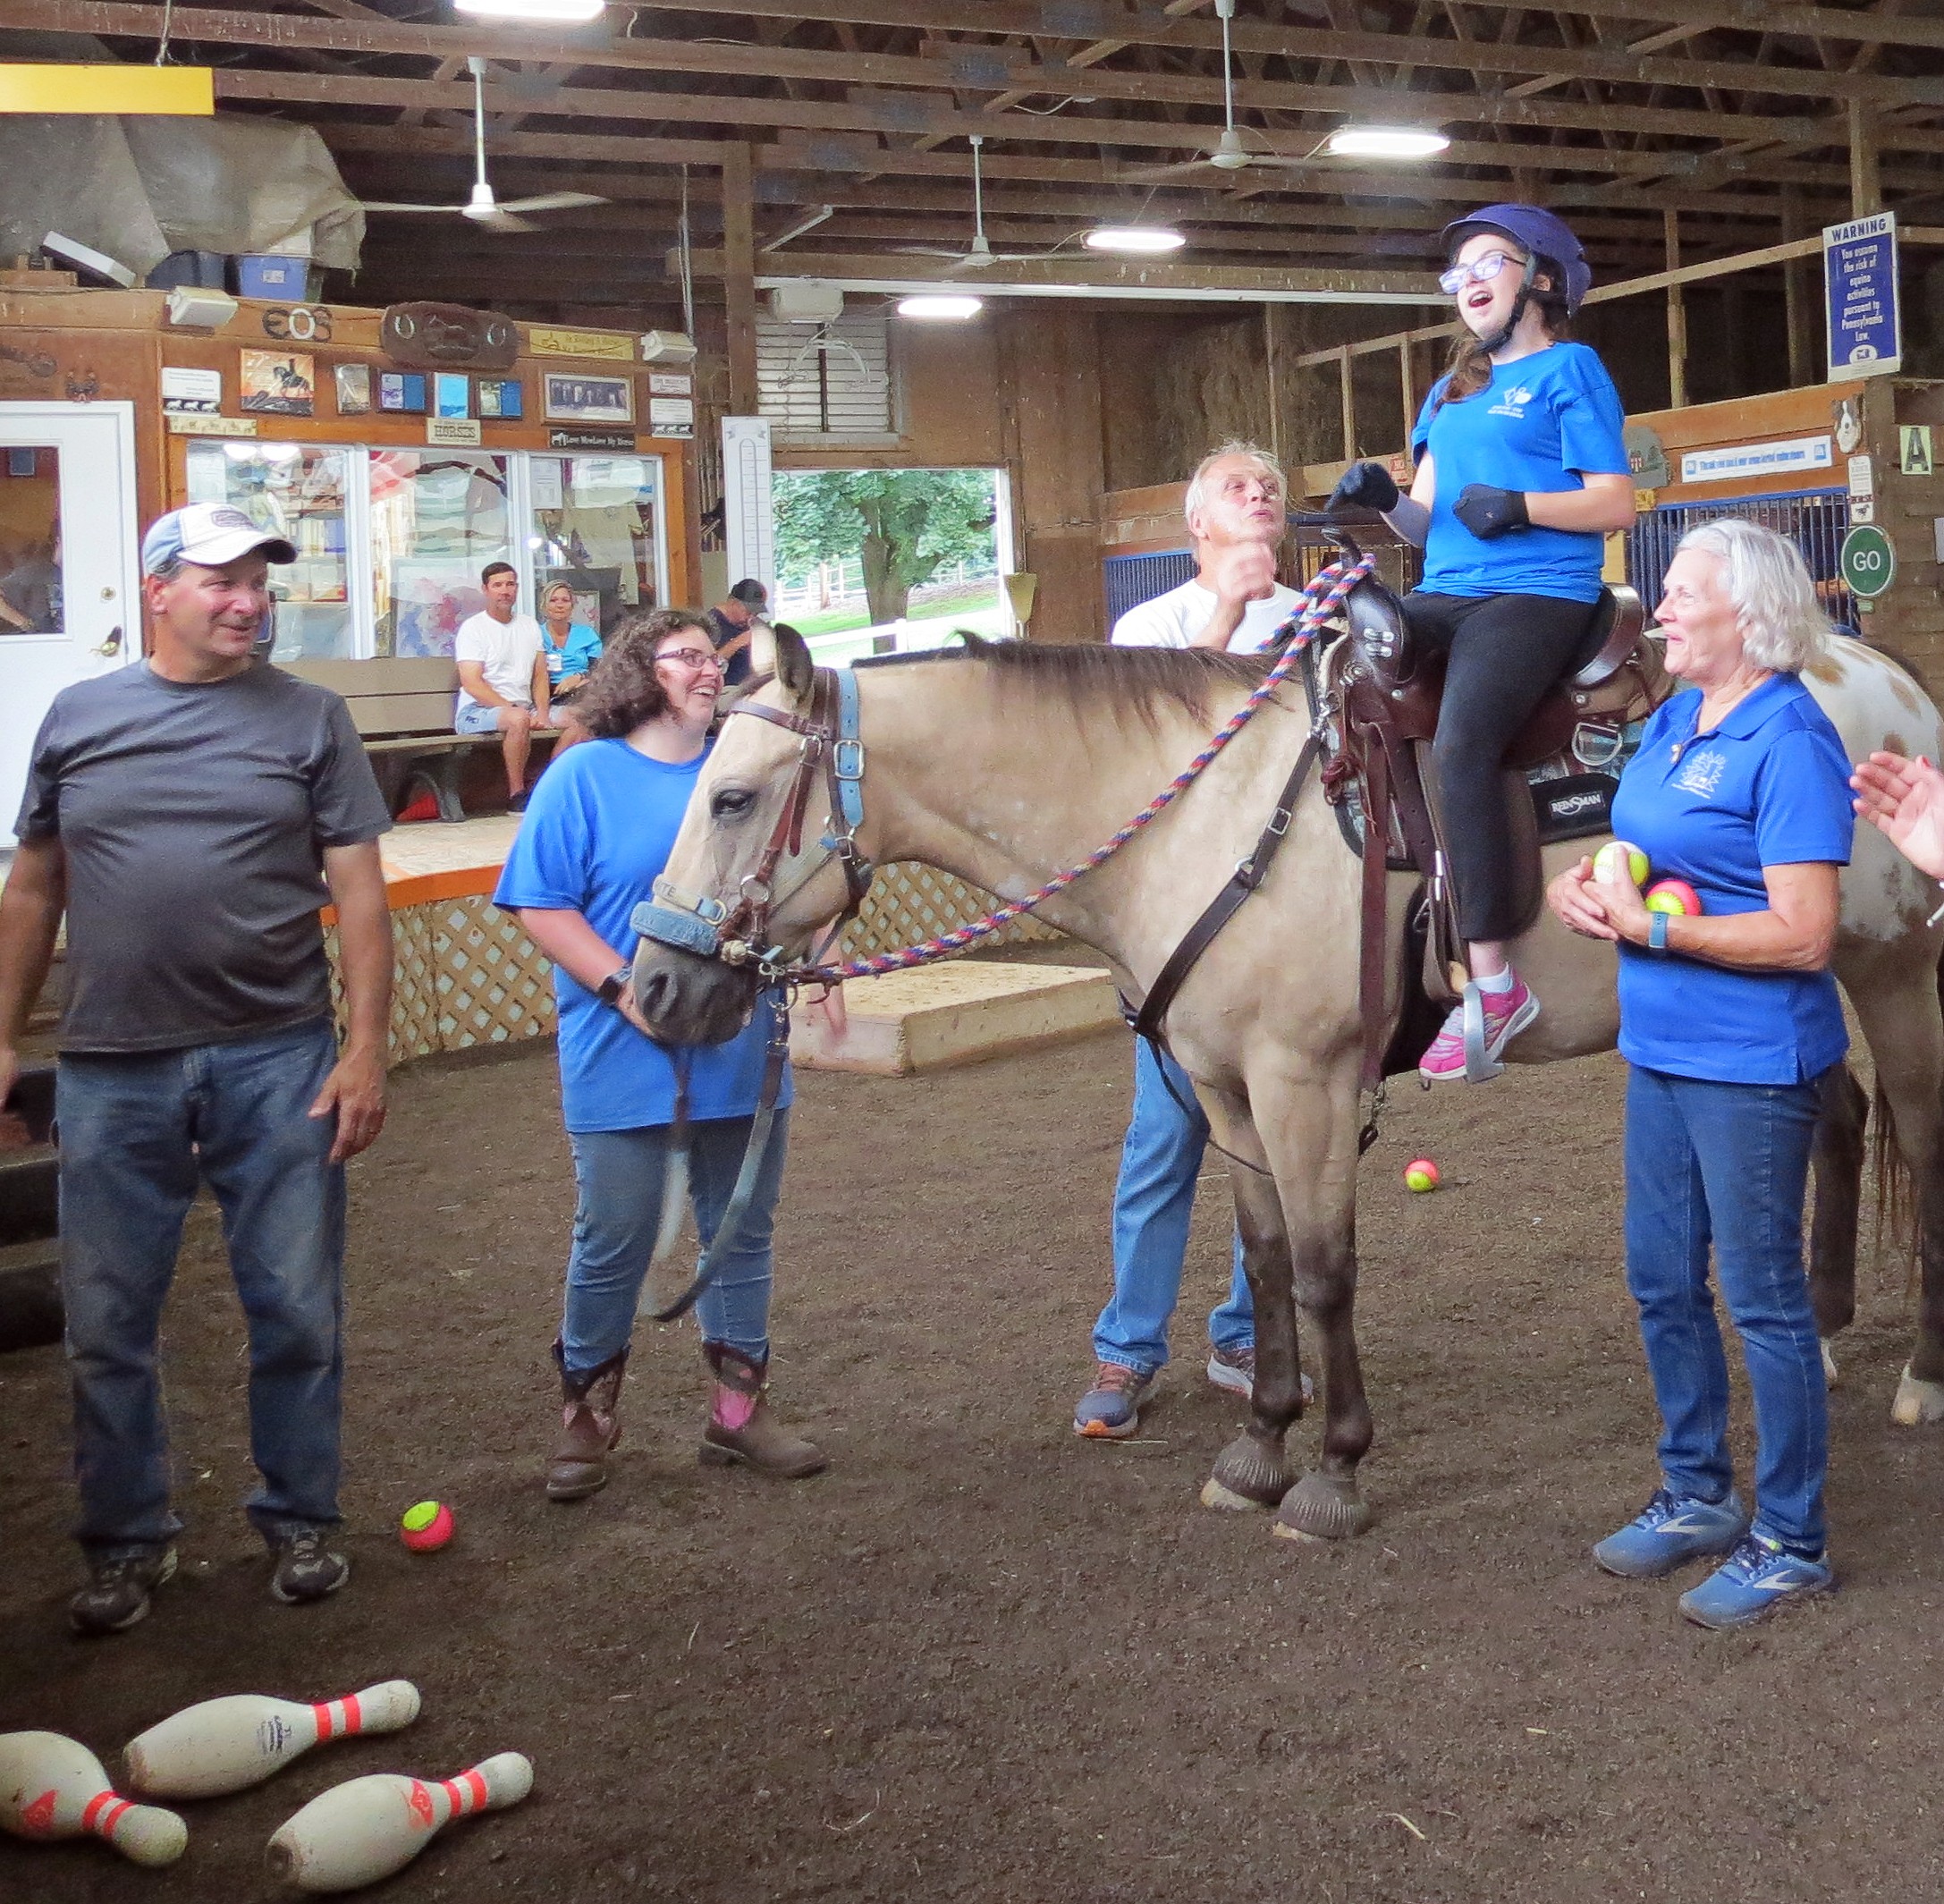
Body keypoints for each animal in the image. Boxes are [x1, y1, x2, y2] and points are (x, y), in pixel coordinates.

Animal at [629, 617, 1944, 1544]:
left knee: (1919, 1137)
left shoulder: (1300, 1082)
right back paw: (1820, 1328)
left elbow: (1322, 1270)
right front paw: (1259, 1449)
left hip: (1891, 968)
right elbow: (1262, 1260)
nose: (651, 987)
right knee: (1830, 1112)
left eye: (732, 796)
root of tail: (1875, 665)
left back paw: (1919, 1376)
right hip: (1793, 972)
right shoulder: (1223, 1089)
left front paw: (1335, 1471)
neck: (1194, 821)